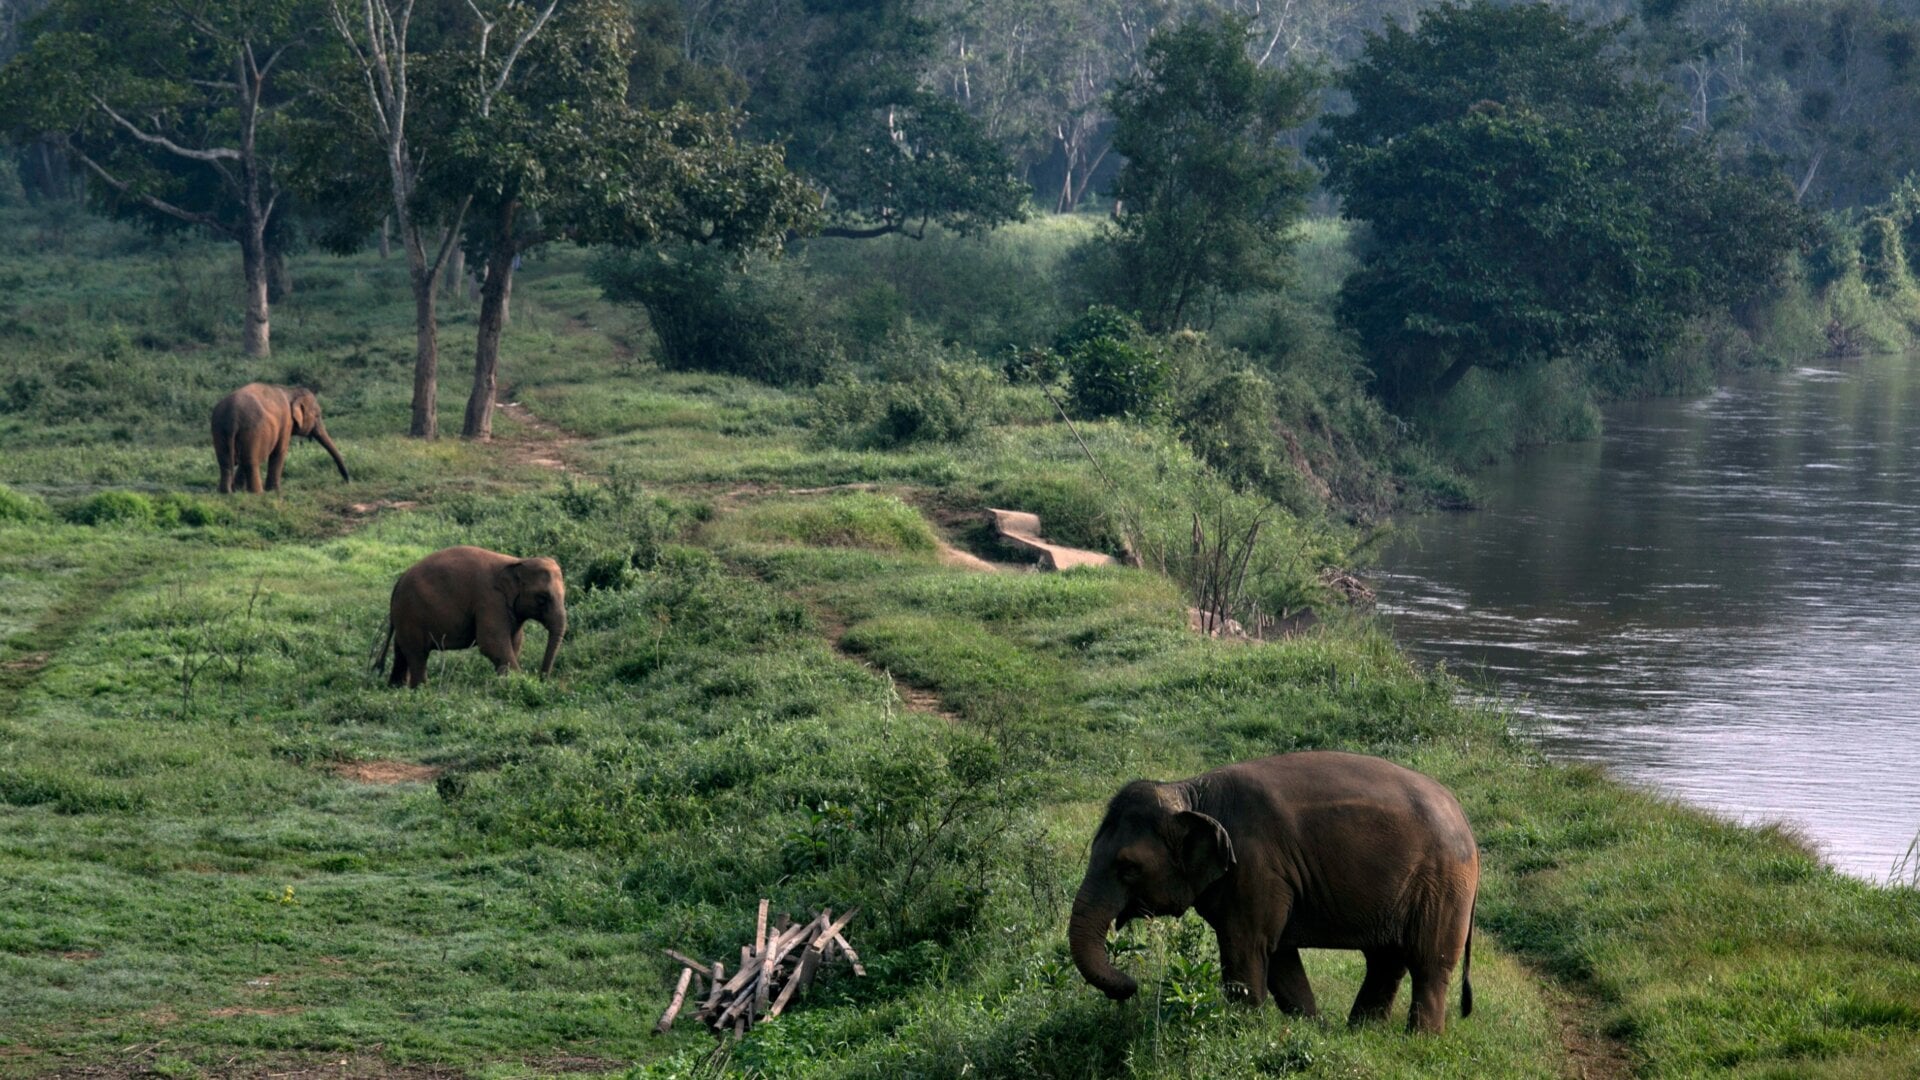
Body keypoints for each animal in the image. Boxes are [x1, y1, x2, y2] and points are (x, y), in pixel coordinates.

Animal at [211, 383, 350, 494]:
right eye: (318, 415)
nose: (347, 481)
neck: (291, 391)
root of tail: (232, 416)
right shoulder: (286, 422)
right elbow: (280, 451)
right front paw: (275, 491)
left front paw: (239, 490)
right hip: (253, 430)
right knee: (251, 462)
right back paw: (258, 493)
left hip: (220, 429)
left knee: (226, 462)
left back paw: (226, 492)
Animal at [371, 546, 567, 688]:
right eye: (542, 598)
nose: (542, 679)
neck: (517, 562)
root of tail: (399, 581)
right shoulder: (489, 600)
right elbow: (491, 642)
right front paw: (518, 682)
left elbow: (515, 642)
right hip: (411, 613)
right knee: (417, 653)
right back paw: (420, 690)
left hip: (404, 615)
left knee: (401, 651)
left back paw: (396, 688)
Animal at [1069, 751, 1479, 1034]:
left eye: (1128, 867)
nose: (1129, 986)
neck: (1189, 791)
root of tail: (1465, 820)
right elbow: (1279, 957)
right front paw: (1313, 1029)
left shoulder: (1256, 868)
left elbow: (1246, 947)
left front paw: (1239, 1029)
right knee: (1385, 960)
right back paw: (1361, 1032)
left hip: (1442, 886)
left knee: (1428, 962)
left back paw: (1420, 1039)